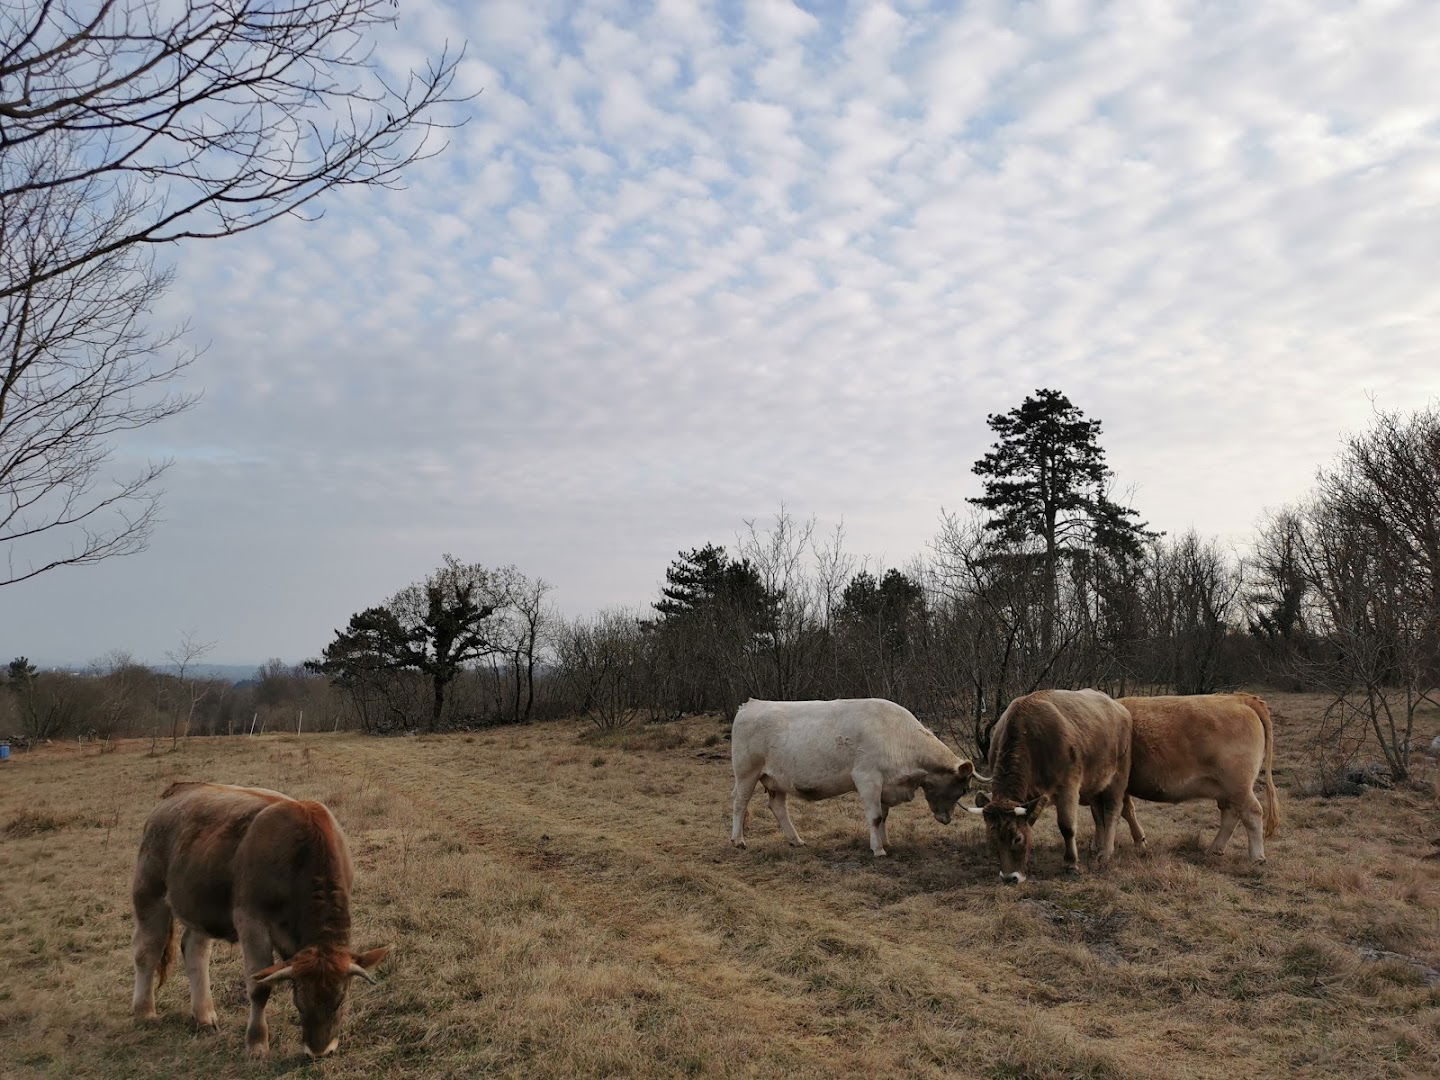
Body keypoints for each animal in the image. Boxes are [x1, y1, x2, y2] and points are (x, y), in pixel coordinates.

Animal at [133, 783, 391, 1059]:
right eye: (300, 1001)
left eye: (340, 1000)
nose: (320, 1052)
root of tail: (178, 790)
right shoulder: (251, 920)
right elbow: (259, 987)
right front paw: (256, 1043)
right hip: (149, 891)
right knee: (147, 951)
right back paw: (144, 1012)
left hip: (200, 905)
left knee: (195, 950)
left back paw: (204, 1016)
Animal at [731, 702, 979, 864]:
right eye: (963, 789)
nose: (947, 819)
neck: (898, 735)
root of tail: (750, 705)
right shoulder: (868, 778)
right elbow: (875, 817)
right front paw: (878, 850)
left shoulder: (885, 785)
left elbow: (884, 816)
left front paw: (886, 842)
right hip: (747, 773)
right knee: (740, 804)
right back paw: (738, 840)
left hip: (777, 780)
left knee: (778, 807)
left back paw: (796, 840)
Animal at [973, 688, 1128, 881]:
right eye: (992, 839)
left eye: (1017, 838)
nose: (1009, 878)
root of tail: (1117, 706)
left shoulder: (1068, 788)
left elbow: (1067, 827)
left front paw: (1071, 864)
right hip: (1094, 782)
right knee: (1098, 814)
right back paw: (1096, 846)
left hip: (1118, 775)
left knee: (1112, 811)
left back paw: (1105, 853)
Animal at [1123, 696, 1284, 869]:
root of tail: (1240, 698)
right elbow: (1128, 810)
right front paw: (1140, 841)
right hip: (1227, 790)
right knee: (1231, 814)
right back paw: (1215, 849)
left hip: (1238, 786)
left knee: (1252, 812)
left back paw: (1257, 857)